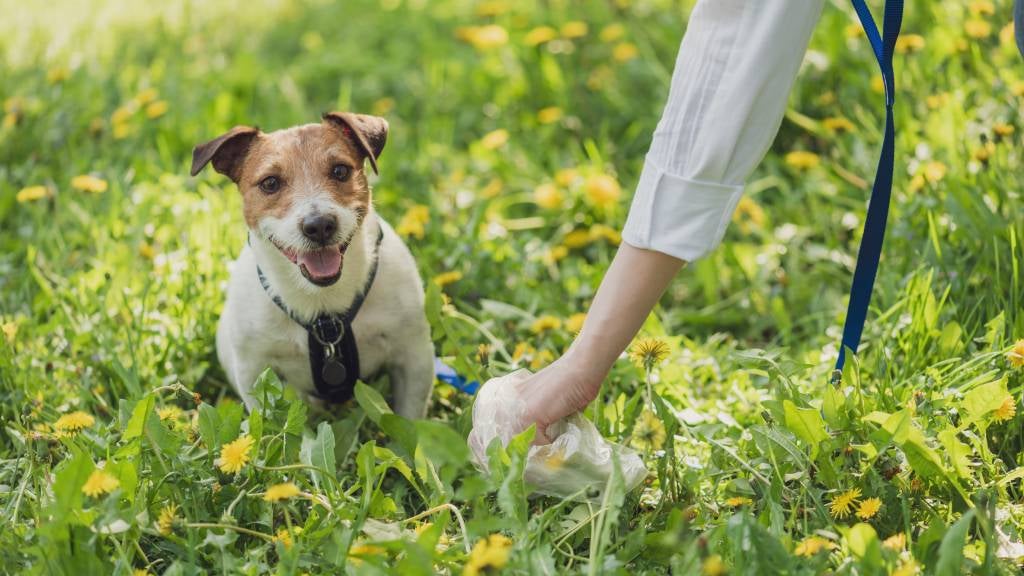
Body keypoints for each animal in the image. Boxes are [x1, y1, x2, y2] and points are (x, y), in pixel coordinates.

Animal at [191, 111, 432, 416]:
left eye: (340, 171)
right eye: (270, 183)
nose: (319, 226)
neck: (323, 308)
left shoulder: (413, 356)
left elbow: (410, 418)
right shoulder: (254, 371)